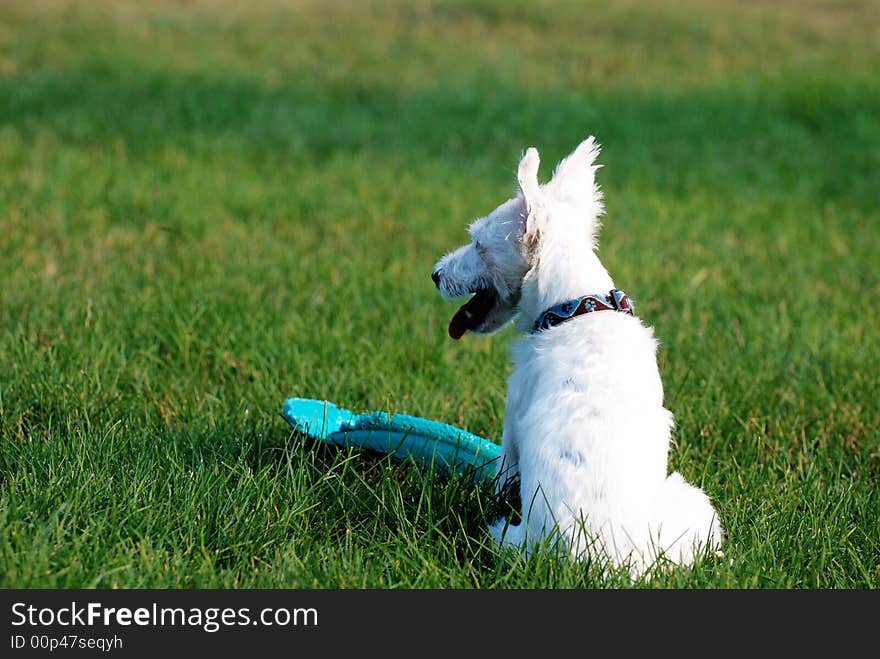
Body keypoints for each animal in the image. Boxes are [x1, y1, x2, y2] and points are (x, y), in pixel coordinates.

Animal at [432, 139, 720, 576]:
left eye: (479, 244)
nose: (435, 274)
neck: (574, 305)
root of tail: (602, 563)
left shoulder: (513, 415)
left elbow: (502, 473)